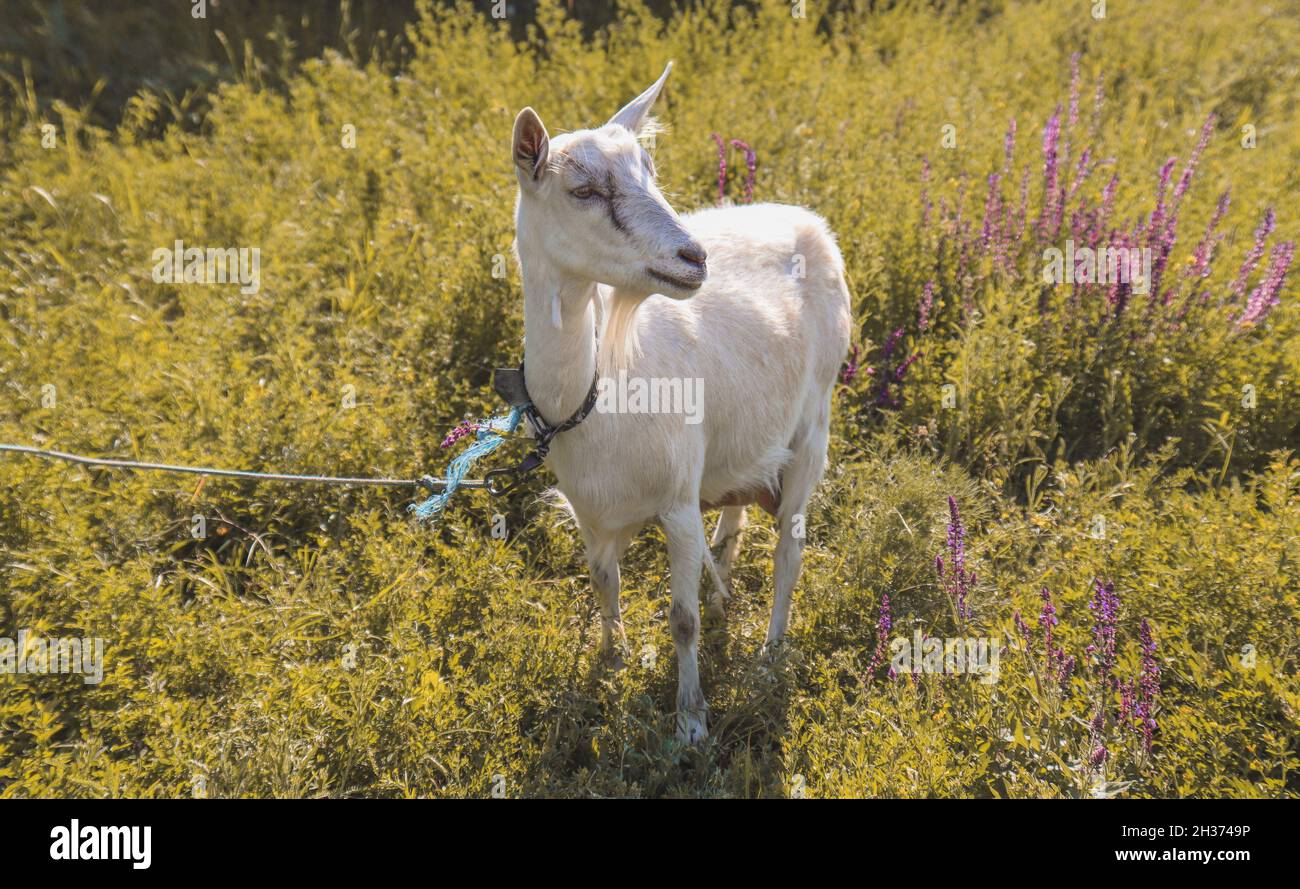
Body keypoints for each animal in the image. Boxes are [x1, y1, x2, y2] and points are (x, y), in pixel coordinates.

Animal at [511, 63, 851, 743]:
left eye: (650, 169)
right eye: (583, 190)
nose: (695, 257)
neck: (595, 396)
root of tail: (805, 217)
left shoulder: (676, 503)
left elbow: (682, 619)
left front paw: (691, 722)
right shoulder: (592, 510)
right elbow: (603, 584)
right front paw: (611, 663)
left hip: (815, 427)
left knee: (790, 553)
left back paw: (770, 656)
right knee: (739, 505)